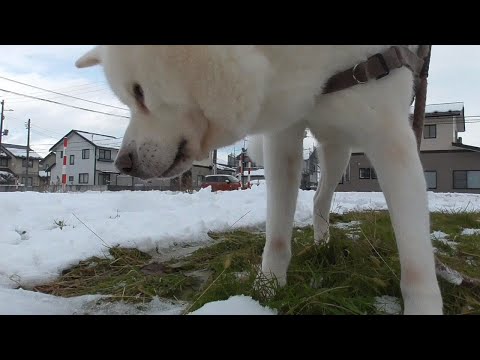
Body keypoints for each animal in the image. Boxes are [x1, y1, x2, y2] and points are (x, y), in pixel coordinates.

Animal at [76, 45, 442, 316]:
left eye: (139, 93)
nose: (122, 162)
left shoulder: (391, 136)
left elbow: (415, 257)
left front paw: (423, 305)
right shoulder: (284, 137)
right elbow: (277, 235)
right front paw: (266, 290)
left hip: (340, 147)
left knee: (322, 196)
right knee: (318, 198)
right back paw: (322, 243)